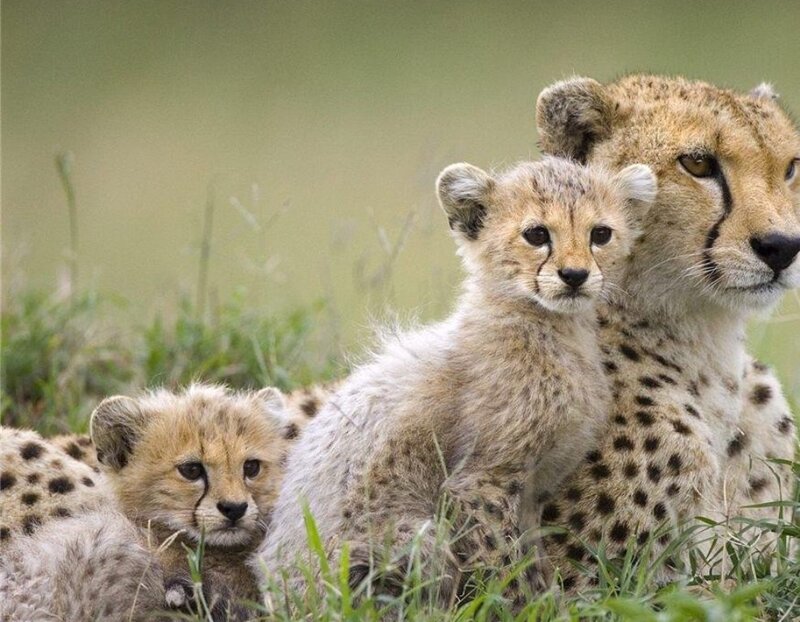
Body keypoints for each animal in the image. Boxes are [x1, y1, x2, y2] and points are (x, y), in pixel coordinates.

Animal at [255, 156, 657, 609]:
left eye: (600, 234)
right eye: (537, 234)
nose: (575, 275)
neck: (550, 327)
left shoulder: (531, 492)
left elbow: (532, 559)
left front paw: (551, 603)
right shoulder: (479, 482)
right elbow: (505, 565)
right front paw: (519, 609)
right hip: (411, 539)